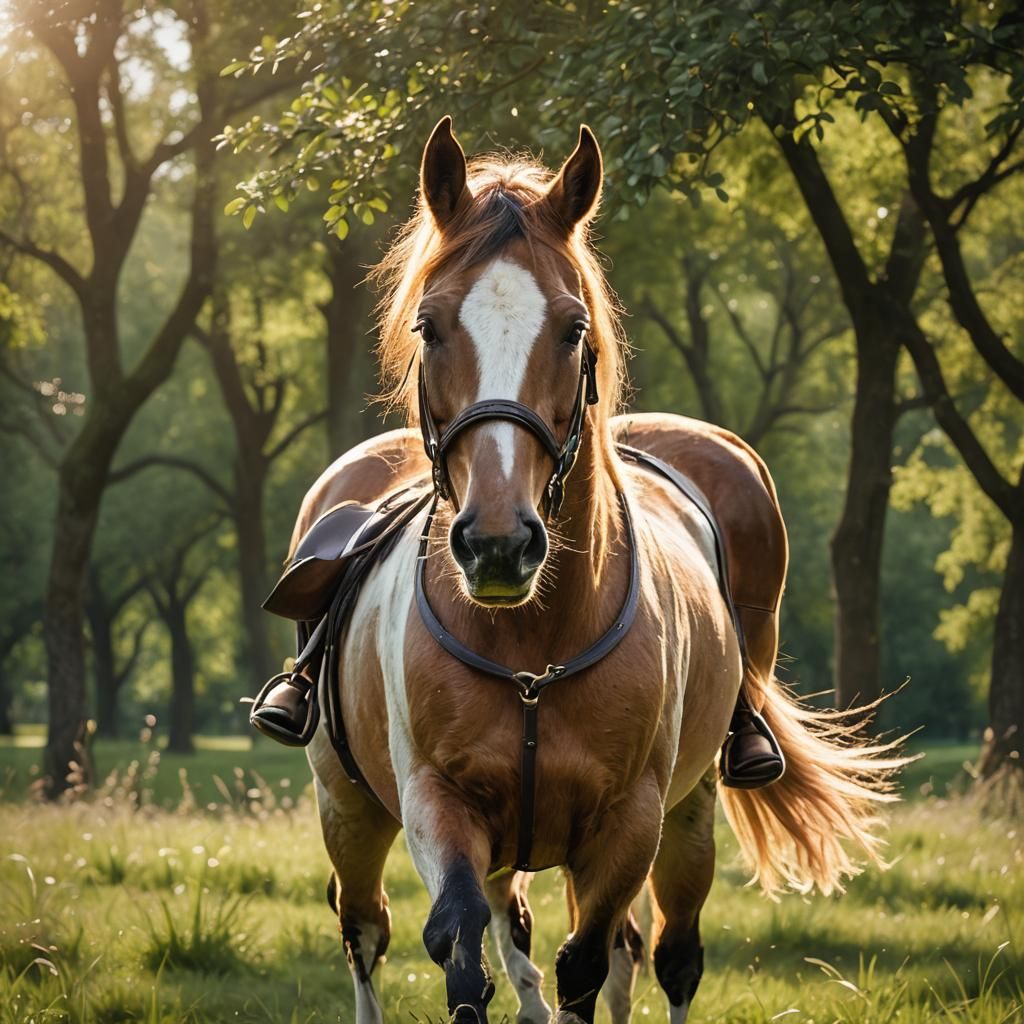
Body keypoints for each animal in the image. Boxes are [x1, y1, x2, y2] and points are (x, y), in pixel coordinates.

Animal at [287, 117, 903, 1024]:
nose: (498, 543)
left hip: (689, 812)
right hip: (348, 806)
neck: (532, 641)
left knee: (658, 952)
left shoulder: (630, 823)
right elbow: (460, 942)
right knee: (370, 929)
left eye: (572, 328)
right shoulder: (436, 800)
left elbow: (591, 959)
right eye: (430, 326)